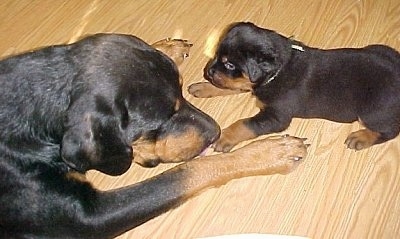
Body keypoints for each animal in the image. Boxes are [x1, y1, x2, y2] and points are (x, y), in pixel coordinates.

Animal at [0, 32, 310, 238]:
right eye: (162, 118)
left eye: (181, 92)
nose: (215, 132)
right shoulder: (90, 218)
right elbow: (189, 172)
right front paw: (268, 153)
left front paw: (167, 47)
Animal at [190, 22, 400, 153]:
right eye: (217, 55)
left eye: (230, 65)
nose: (208, 71)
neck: (279, 70)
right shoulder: (250, 84)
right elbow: (230, 85)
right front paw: (202, 87)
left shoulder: (277, 117)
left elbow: (244, 124)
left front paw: (224, 136)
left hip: (373, 111)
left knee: (389, 130)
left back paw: (361, 138)